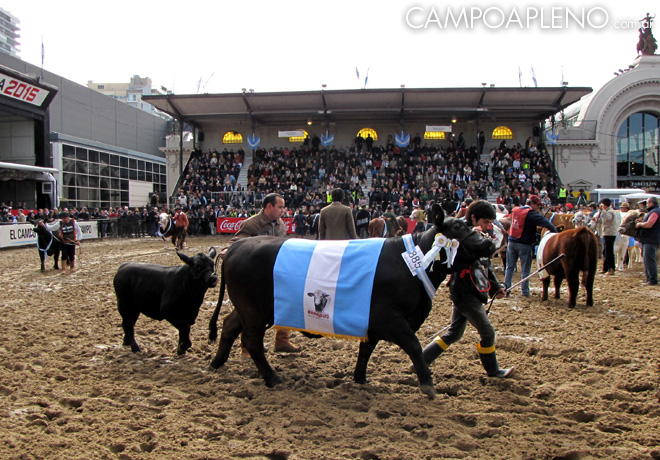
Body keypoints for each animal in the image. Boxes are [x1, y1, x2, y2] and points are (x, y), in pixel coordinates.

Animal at [208, 203, 496, 398]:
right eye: (457, 227)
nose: (490, 243)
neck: (412, 264)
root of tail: (237, 245)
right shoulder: (391, 319)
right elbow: (414, 346)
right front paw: (427, 383)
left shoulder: (372, 321)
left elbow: (366, 349)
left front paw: (360, 378)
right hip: (254, 311)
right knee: (252, 342)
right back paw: (272, 378)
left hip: (248, 309)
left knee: (229, 325)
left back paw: (217, 363)